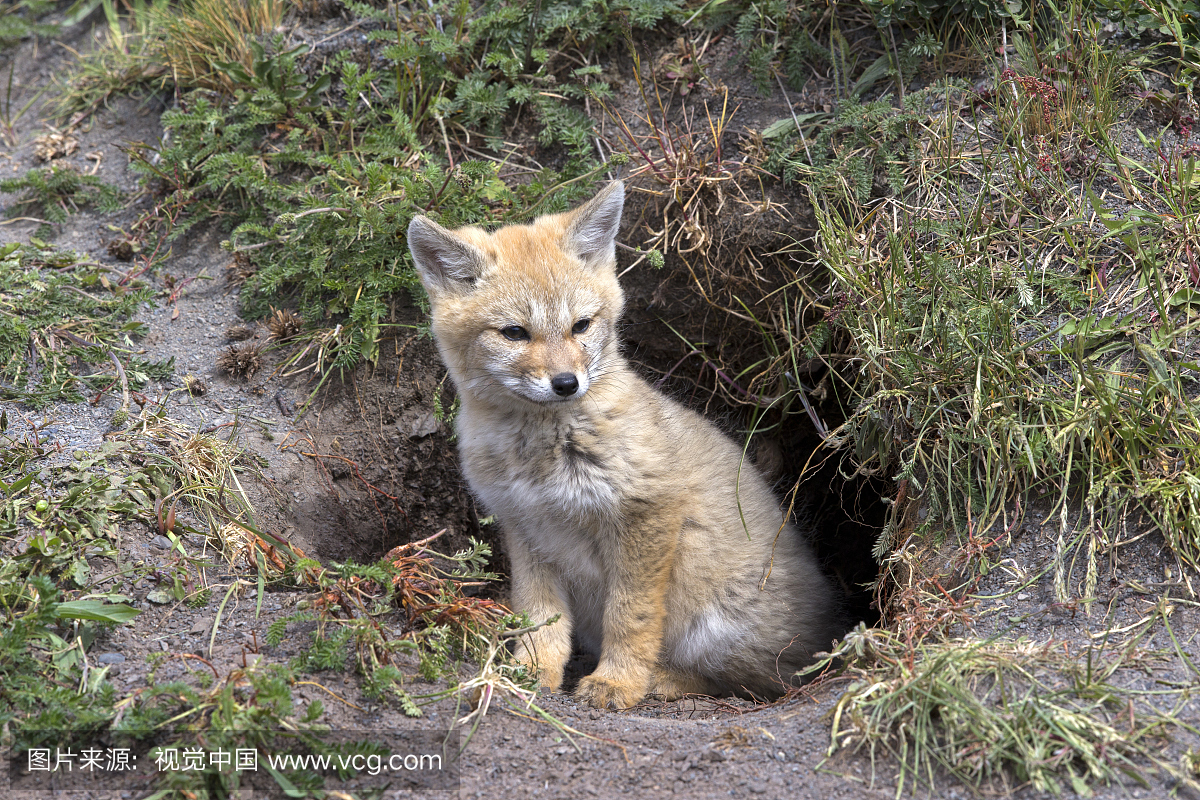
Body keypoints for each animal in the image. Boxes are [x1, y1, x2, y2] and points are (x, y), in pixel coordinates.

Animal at [408, 184, 840, 710]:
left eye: (581, 325)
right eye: (514, 333)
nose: (566, 383)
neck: (540, 456)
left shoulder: (646, 516)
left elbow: (630, 616)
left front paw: (618, 682)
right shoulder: (525, 529)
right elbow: (539, 618)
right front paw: (530, 672)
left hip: (717, 620)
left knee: (761, 681)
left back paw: (663, 679)